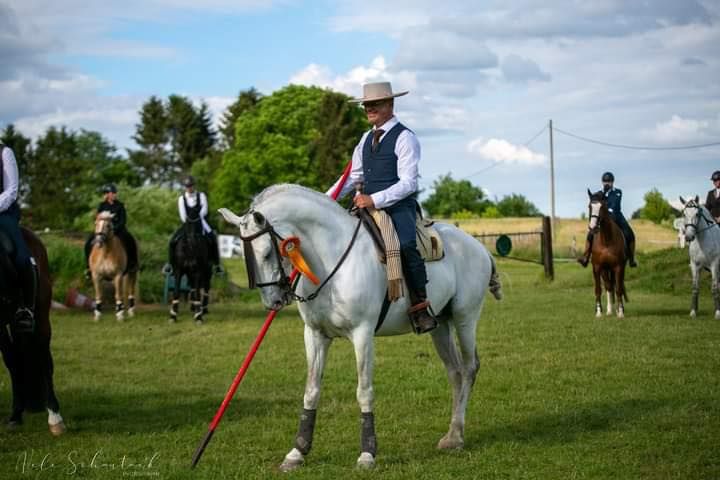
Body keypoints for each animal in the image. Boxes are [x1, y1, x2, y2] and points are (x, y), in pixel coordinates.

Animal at [219, 185, 500, 472]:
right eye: (247, 258)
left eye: (266, 253)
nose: (273, 302)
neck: (331, 259)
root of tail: (478, 246)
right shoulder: (315, 335)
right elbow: (311, 391)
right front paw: (297, 452)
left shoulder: (362, 334)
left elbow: (364, 392)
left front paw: (367, 454)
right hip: (440, 325)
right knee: (455, 372)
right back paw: (452, 435)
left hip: (465, 318)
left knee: (469, 368)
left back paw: (458, 436)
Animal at [588, 188, 628, 318]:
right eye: (589, 206)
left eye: (602, 206)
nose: (593, 228)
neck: (606, 240)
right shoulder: (597, 267)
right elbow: (598, 289)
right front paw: (599, 312)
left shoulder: (619, 267)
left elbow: (619, 289)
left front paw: (620, 312)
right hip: (605, 270)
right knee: (609, 286)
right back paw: (610, 310)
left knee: (615, 286)